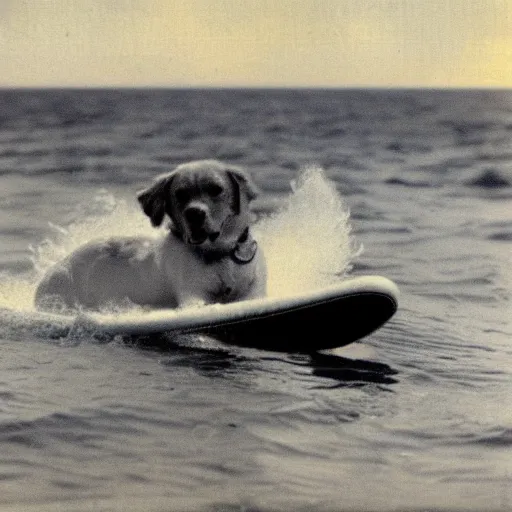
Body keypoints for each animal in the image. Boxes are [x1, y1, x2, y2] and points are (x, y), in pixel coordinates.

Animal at [35, 160, 268, 312]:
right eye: (180, 194)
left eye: (216, 189)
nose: (194, 213)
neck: (218, 256)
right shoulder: (192, 296)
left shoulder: (255, 292)